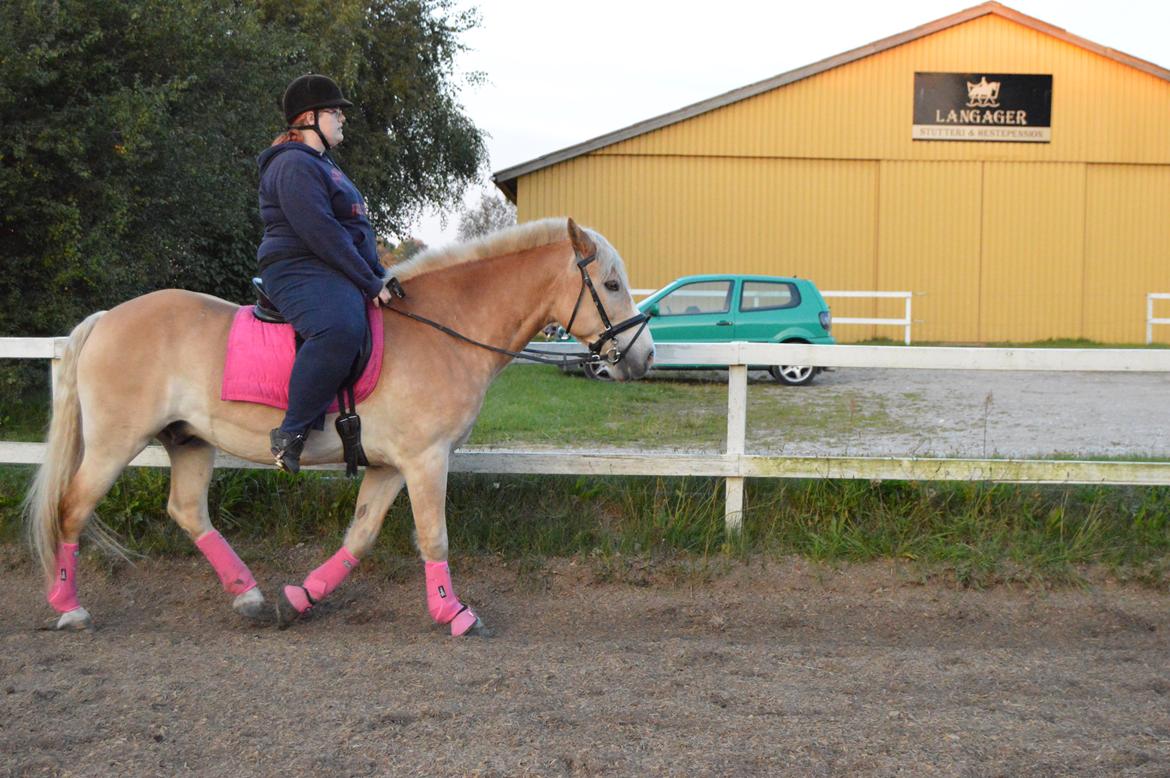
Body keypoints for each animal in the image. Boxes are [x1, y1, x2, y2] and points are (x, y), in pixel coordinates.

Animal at [25, 216, 659, 631]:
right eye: (609, 284)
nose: (642, 357)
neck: (443, 330)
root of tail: (107, 318)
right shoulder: (426, 460)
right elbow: (434, 536)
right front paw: (453, 612)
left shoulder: (389, 467)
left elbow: (360, 535)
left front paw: (302, 596)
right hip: (114, 442)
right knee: (71, 509)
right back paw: (68, 608)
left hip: (191, 441)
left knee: (186, 510)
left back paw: (250, 597)